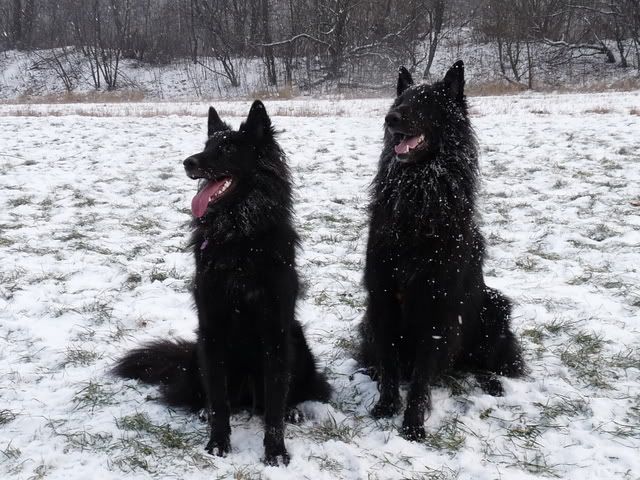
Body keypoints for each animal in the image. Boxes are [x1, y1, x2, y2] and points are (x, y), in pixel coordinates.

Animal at [114, 101, 331, 465]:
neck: (238, 238)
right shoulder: (212, 328)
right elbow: (218, 400)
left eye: (228, 149)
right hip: (198, 348)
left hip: (297, 340)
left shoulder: (276, 332)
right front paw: (217, 443)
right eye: (206, 146)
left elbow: (274, 404)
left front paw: (275, 452)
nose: (189, 162)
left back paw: (293, 410)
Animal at [358, 61, 524, 440]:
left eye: (426, 104)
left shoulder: (436, 307)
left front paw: (413, 425)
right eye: (400, 100)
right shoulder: (382, 299)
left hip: (495, 308)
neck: (418, 200)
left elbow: (421, 378)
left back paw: (492, 384)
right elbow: (389, 363)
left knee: (484, 363)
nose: (390, 118)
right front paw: (386, 406)